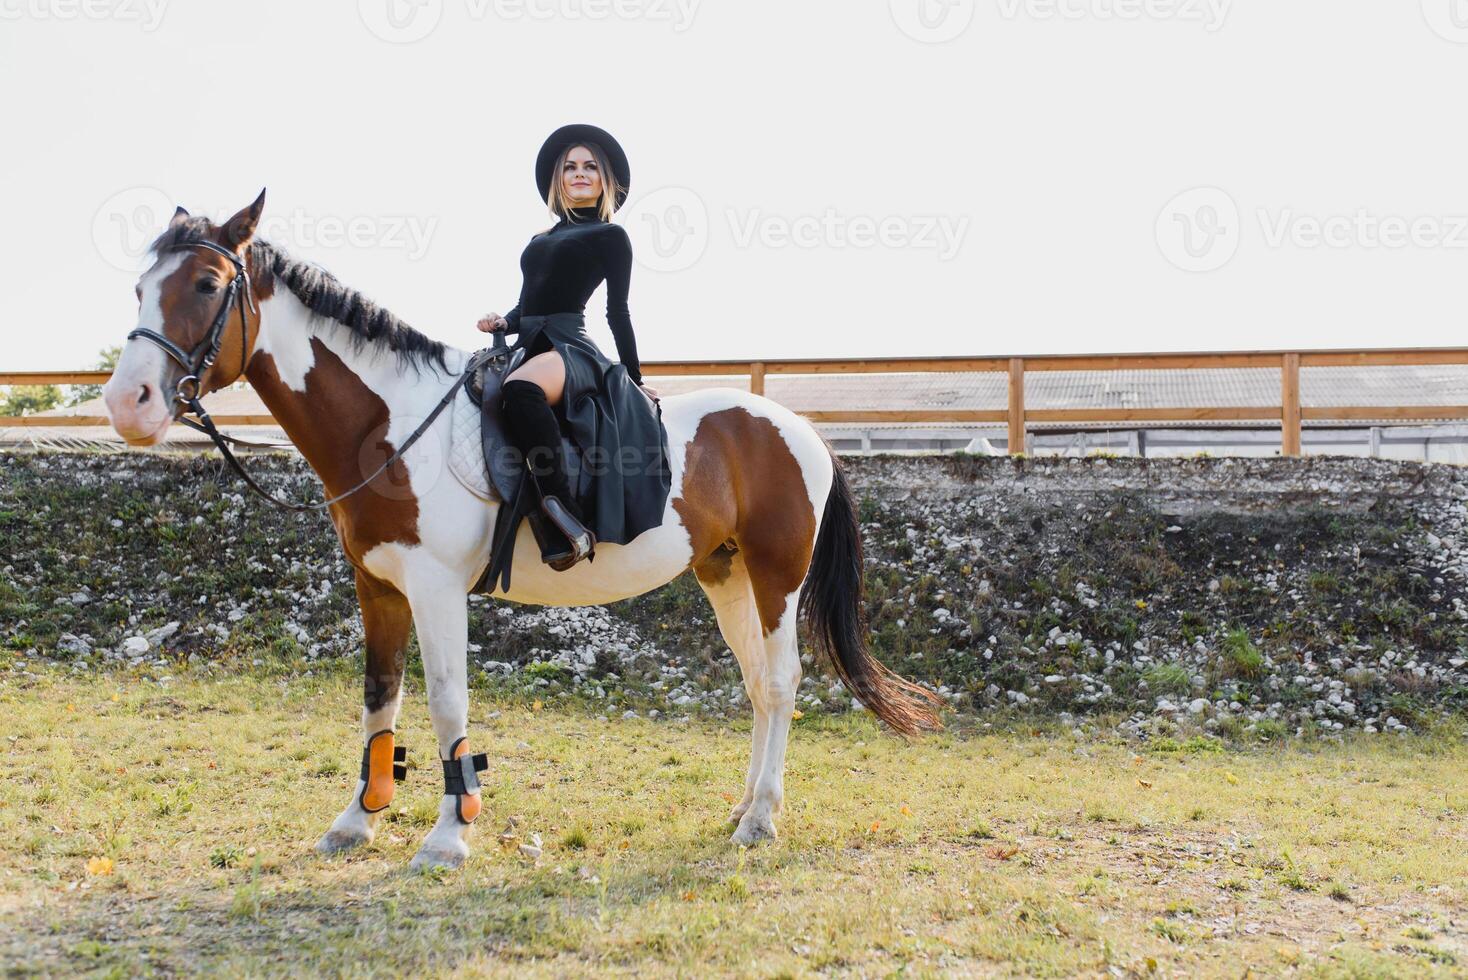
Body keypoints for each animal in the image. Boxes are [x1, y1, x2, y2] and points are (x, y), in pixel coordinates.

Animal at [103, 190, 939, 874]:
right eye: (140, 288)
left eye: (206, 285)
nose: (126, 404)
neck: (388, 424)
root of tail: (799, 428)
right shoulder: (377, 585)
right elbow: (379, 697)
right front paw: (355, 822)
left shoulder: (437, 589)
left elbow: (446, 703)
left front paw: (448, 837)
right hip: (725, 574)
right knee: (760, 687)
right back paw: (746, 807)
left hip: (775, 577)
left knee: (783, 680)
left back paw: (760, 821)